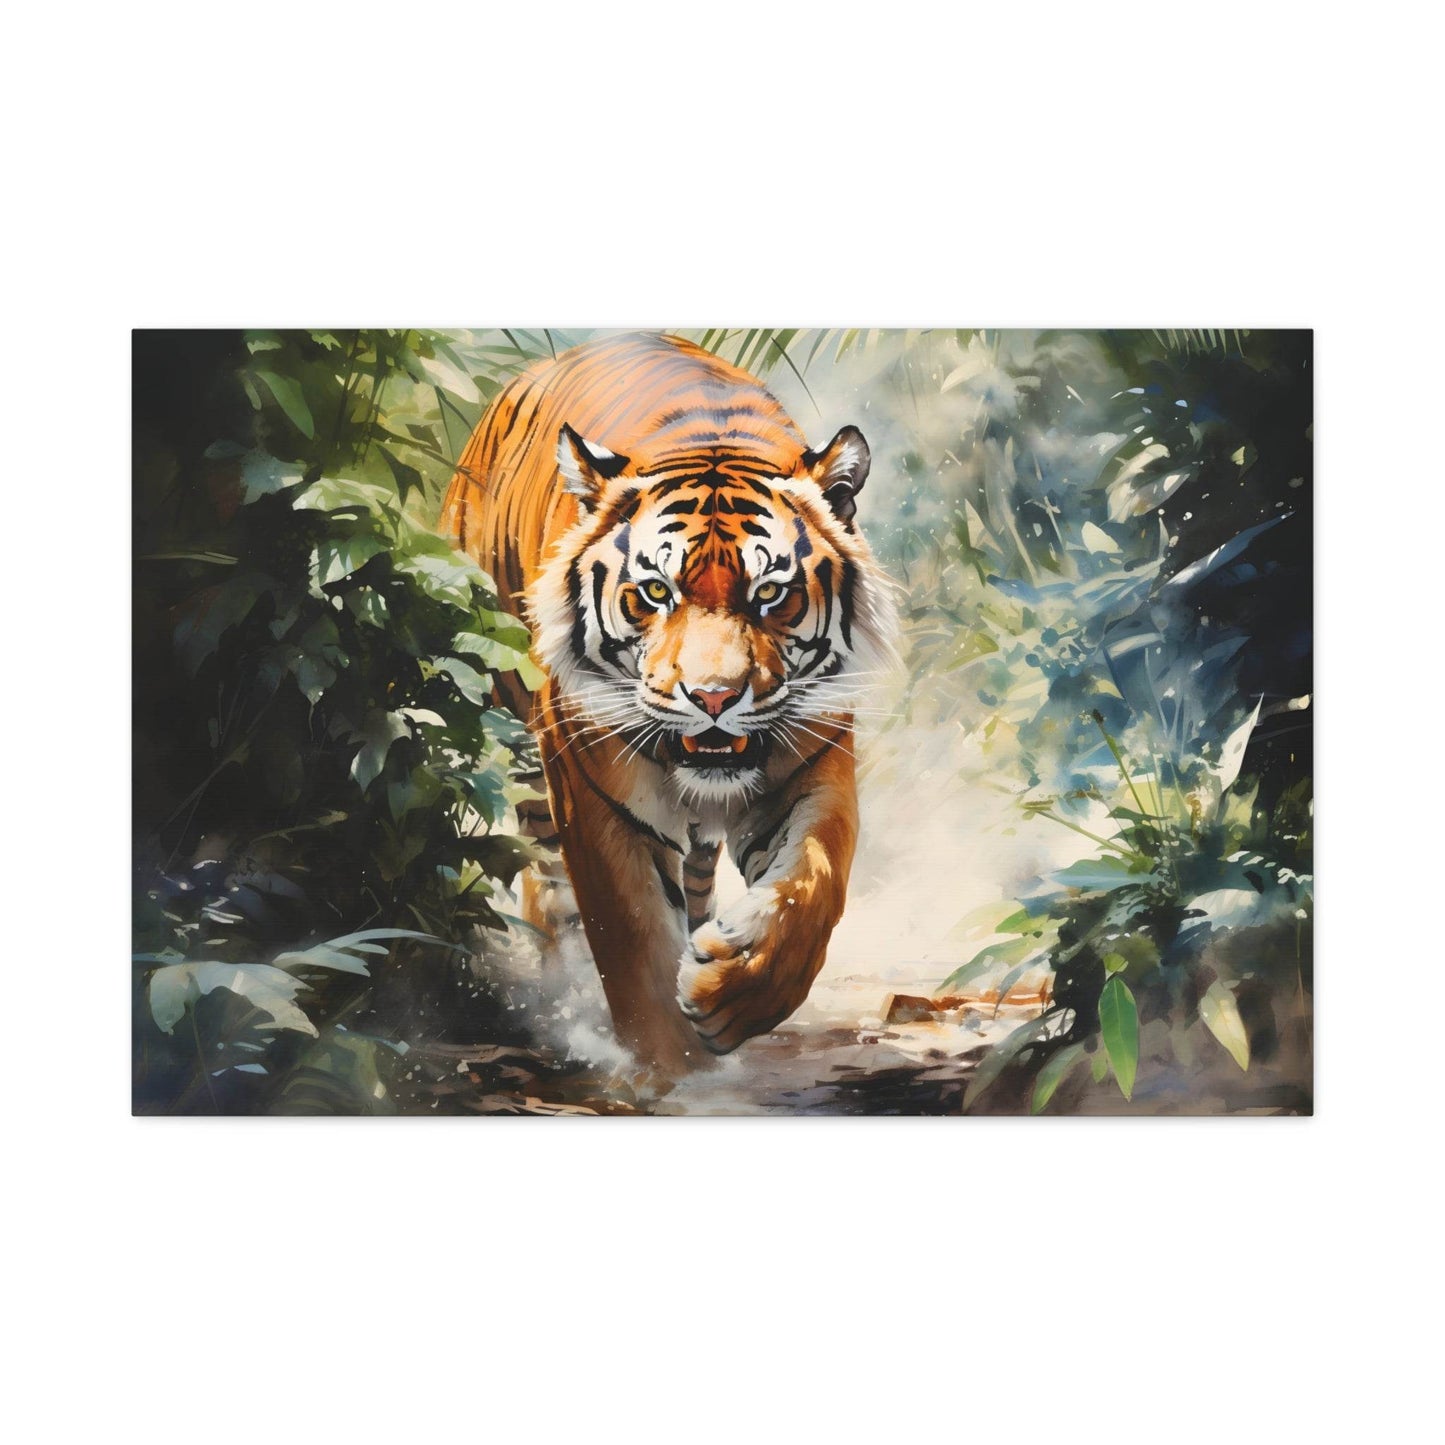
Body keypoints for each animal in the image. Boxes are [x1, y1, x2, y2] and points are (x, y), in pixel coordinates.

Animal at [441, 332, 896, 1074]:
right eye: (656, 591)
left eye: (770, 593)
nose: (713, 697)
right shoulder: (596, 796)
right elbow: (632, 945)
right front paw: (672, 1070)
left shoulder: (812, 764)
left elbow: (814, 884)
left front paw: (729, 991)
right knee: (547, 887)